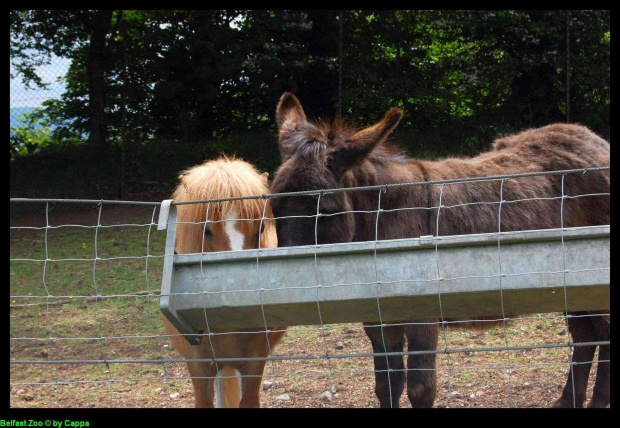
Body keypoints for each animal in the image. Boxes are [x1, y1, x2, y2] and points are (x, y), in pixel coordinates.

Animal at [272, 93, 612, 408]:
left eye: (324, 210)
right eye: (274, 207)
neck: (383, 220)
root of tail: (596, 141)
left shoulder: (423, 316)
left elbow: (421, 388)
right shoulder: (378, 321)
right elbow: (386, 386)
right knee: (586, 335)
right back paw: (569, 400)